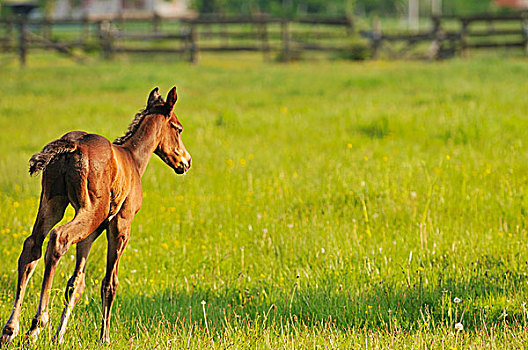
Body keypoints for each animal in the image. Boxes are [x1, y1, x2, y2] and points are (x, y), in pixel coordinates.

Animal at [0, 87, 190, 344]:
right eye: (178, 128)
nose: (186, 161)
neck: (133, 158)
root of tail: (72, 144)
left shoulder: (92, 234)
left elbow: (76, 282)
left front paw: (59, 336)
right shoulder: (121, 225)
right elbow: (110, 283)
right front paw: (104, 337)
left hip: (53, 203)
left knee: (33, 245)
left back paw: (11, 328)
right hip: (90, 210)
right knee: (58, 238)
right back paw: (37, 323)